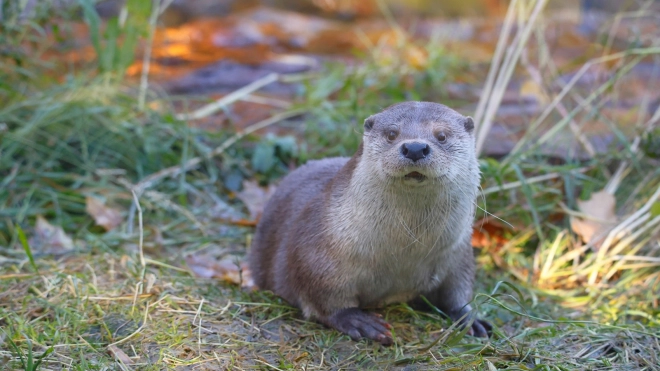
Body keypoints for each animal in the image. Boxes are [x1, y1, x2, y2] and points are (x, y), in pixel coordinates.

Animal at [250, 101, 492, 346]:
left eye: (441, 135)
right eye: (392, 134)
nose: (415, 148)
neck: (404, 252)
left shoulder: (458, 252)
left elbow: (458, 289)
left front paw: (469, 318)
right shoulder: (315, 253)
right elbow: (321, 297)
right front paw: (356, 320)